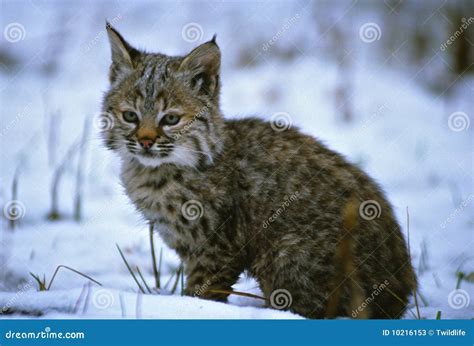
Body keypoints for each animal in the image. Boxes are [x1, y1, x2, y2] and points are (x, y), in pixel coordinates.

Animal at [102, 24, 416, 318]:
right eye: (130, 116)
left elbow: (201, 291)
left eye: (170, 119)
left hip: (284, 252)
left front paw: (190, 309)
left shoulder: (217, 247)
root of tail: (403, 288)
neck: (157, 169)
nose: (145, 141)